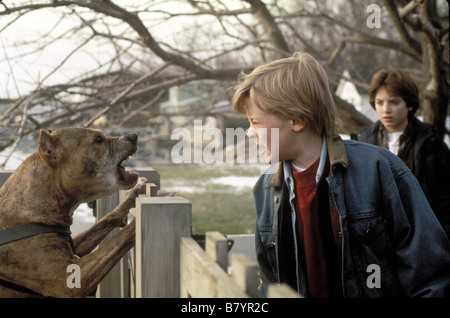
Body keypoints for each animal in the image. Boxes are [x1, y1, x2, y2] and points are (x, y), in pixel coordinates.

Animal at [0, 128, 146, 296]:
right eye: (98, 139)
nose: (133, 136)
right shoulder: (69, 280)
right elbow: (117, 241)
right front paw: (135, 227)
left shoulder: (74, 246)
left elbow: (106, 220)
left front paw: (133, 195)